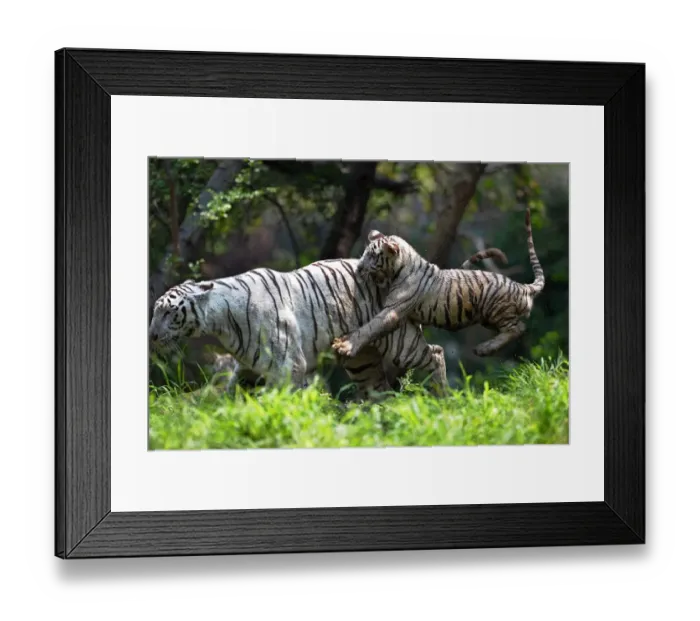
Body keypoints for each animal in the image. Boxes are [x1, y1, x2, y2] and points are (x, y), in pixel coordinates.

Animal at [149, 258, 450, 398]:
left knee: (435, 353)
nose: (151, 335)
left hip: (400, 341)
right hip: (362, 360)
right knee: (379, 389)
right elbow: (229, 396)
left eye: (167, 312)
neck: (221, 322)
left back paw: (443, 399)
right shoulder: (247, 369)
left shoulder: (288, 365)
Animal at [332, 208, 544, 359]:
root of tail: (522, 286)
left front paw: (346, 345)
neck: (398, 269)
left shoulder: (393, 310)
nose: (359, 268)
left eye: (372, 256)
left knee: (517, 329)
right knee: (517, 328)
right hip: (487, 318)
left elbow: (370, 327)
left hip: (495, 307)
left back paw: (484, 349)